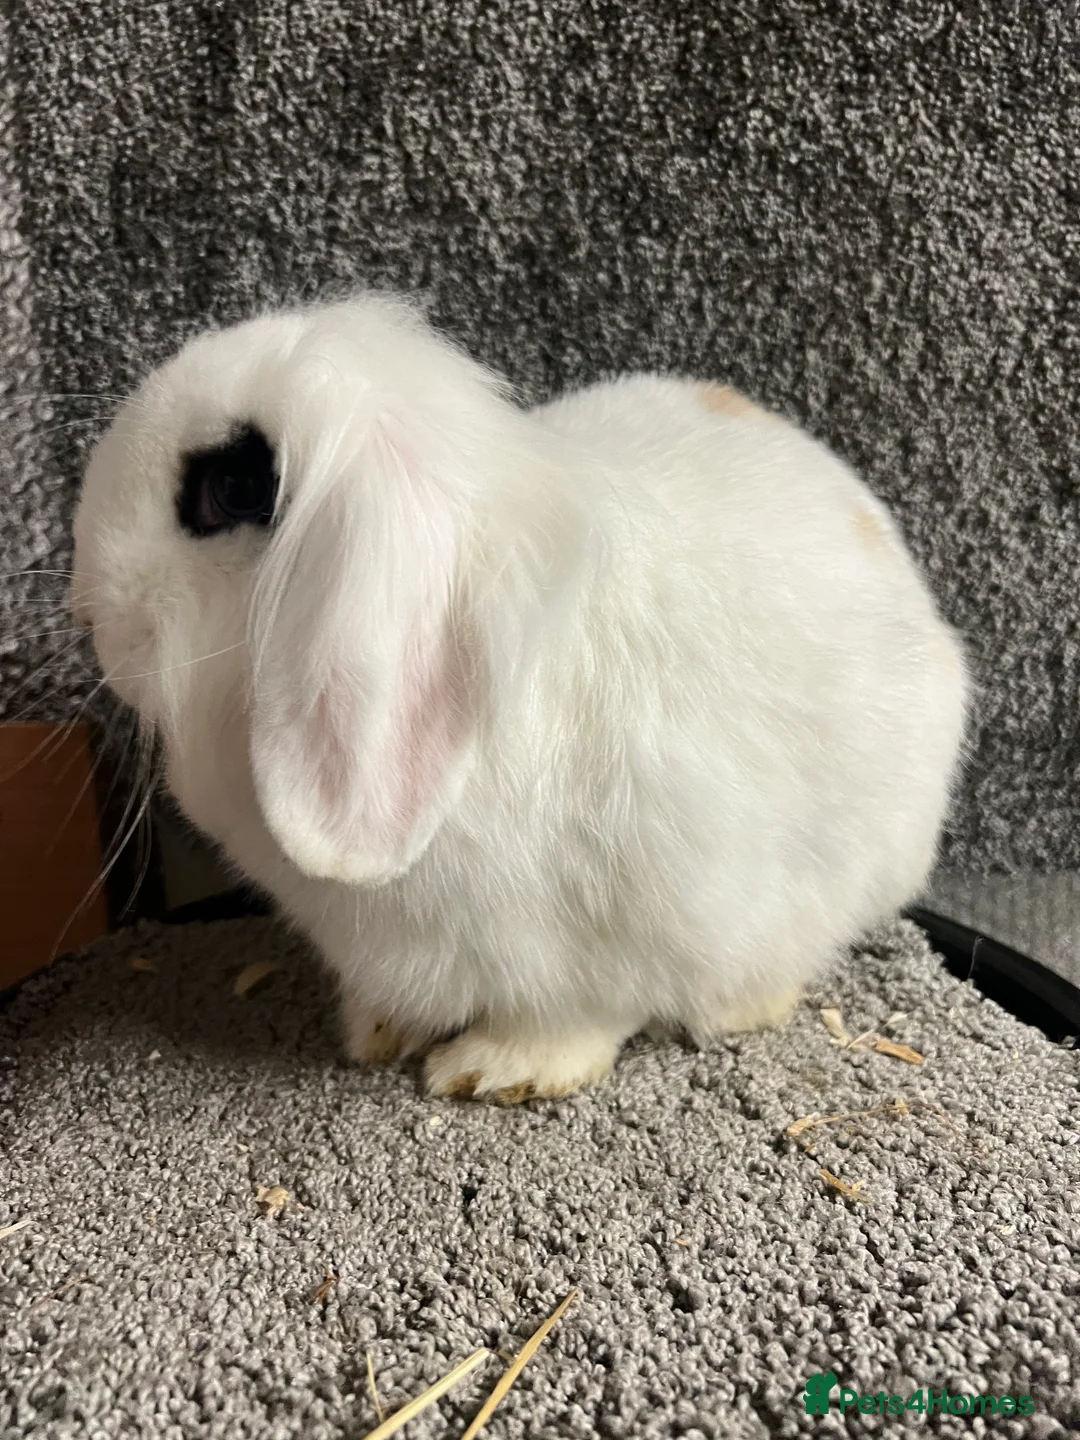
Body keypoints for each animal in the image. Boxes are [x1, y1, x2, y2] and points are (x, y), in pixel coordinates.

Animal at [72, 294, 968, 1102]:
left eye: (230, 489)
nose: (92, 604)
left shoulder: (648, 929)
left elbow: (583, 1017)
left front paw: (495, 1072)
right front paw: (375, 1031)